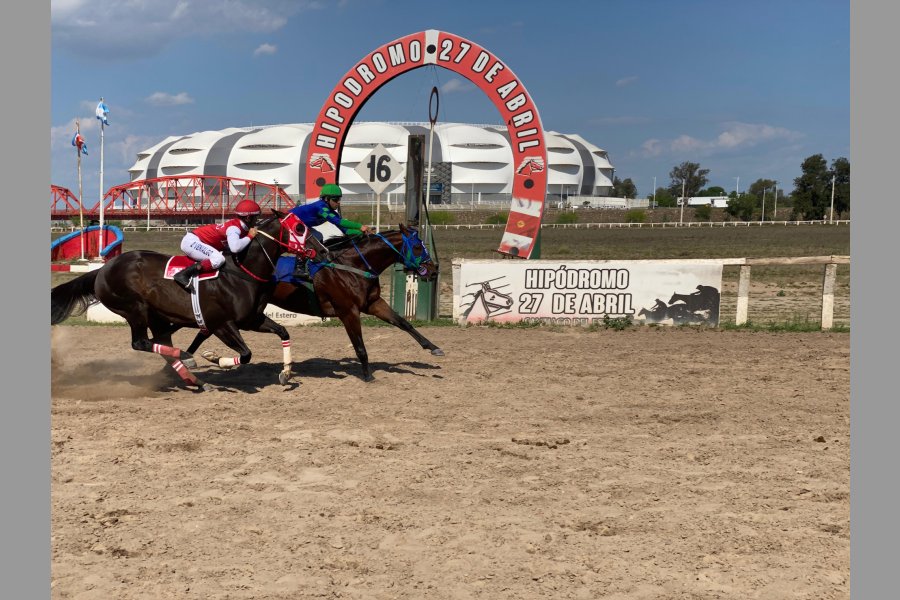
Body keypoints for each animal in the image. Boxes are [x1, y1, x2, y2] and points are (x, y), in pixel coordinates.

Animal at [185, 223, 442, 382]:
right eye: (417, 246)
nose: (433, 270)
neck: (353, 266)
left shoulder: (373, 303)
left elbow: (403, 323)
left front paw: (433, 347)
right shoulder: (348, 311)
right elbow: (360, 346)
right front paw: (368, 375)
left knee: (204, 331)